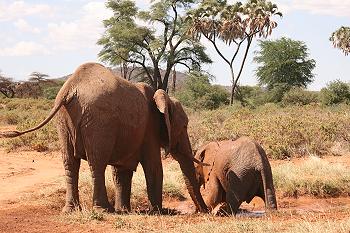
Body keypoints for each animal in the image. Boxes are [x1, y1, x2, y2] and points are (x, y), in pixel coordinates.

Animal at [0, 62, 208, 213]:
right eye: (184, 126)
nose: (203, 211)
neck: (163, 97)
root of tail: (70, 87)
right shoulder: (149, 129)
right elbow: (154, 168)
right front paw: (159, 212)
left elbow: (121, 172)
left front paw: (125, 210)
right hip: (99, 120)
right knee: (96, 162)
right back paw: (104, 210)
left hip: (64, 121)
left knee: (70, 163)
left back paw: (71, 210)